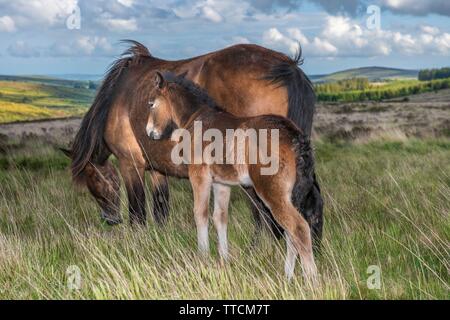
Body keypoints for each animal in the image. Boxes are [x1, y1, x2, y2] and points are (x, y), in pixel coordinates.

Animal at [147, 72, 316, 280]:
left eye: (151, 103)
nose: (150, 132)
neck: (197, 118)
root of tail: (296, 138)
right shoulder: (222, 183)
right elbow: (220, 217)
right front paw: (224, 259)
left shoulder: (199, 175)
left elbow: (200, 213)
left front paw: (203, 257)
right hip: (292, 195)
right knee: (292, 233)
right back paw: (288, 276)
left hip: (272, 193)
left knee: (299, 228)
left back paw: (311, 280)